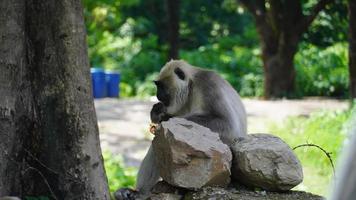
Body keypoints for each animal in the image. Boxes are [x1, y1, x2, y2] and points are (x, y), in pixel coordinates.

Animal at [114, 59, 248, 200]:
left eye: (161, 86)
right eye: (157, 86)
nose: (157, 95)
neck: (191, 86)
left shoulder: (208, 84)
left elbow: (227, 123)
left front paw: (165, 118)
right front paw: (157, 112)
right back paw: (137, 192)